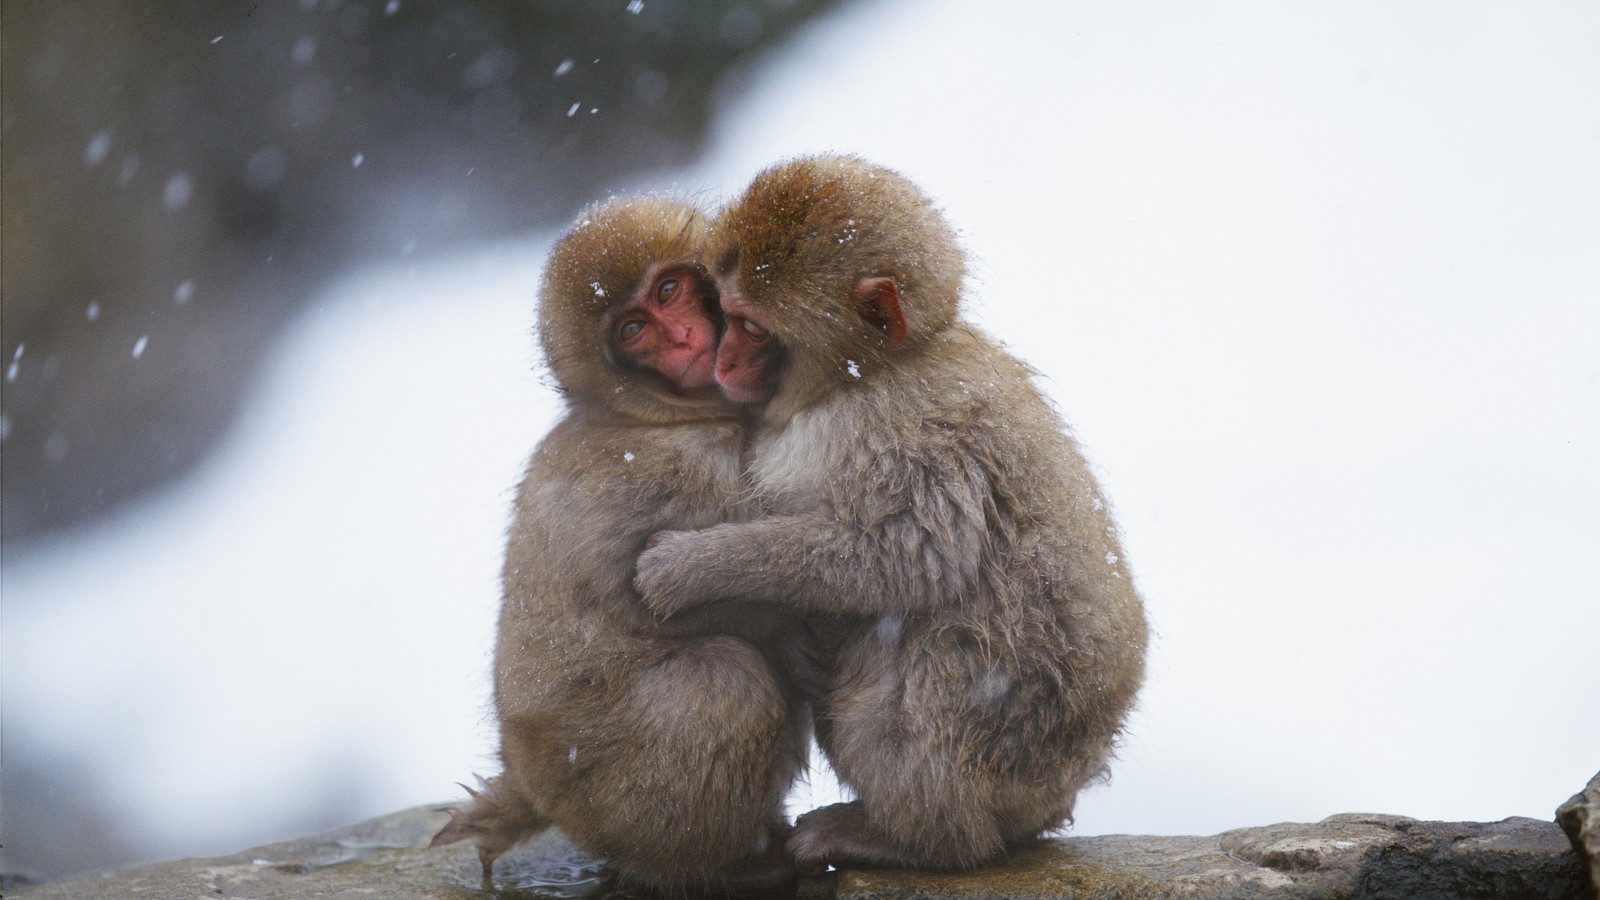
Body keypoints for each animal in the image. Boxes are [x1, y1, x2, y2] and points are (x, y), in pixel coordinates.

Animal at [435, 196, 812, 890]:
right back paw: (716, 866)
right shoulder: (677, 469)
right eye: (634, 330)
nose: (684, 339)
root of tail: (527, 780)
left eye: (668, 291)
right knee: (723, 684)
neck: (655, 414)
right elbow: (671, 593)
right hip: (599, 786)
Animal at [636, 157, 1152, 871]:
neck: (866, 375)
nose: (723, 359)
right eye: (725, 314)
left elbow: (909, 559)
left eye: (754, 328)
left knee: (926, 645)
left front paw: (695, 567)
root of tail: (1059, 787)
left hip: (1002, 745)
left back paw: (918, 838)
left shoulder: (903, 432)